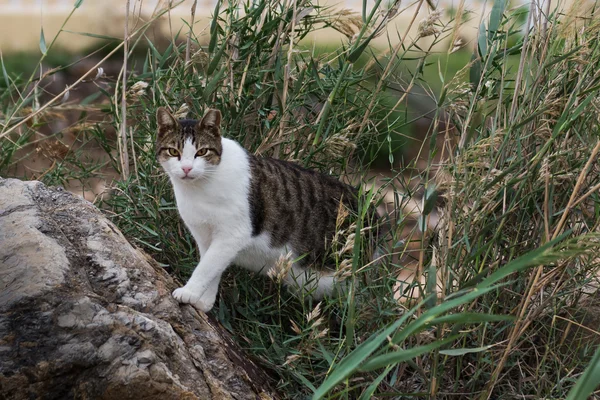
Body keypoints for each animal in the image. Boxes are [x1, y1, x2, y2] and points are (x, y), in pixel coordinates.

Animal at [156, 107, 370, 312]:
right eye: (173, 151)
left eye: (202, 152)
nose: (186, 168)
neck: (198, 189)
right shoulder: (205, 236)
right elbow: (211, 266)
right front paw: (204, 301)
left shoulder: (233, 234)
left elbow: (206, 267)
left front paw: (188, 292)